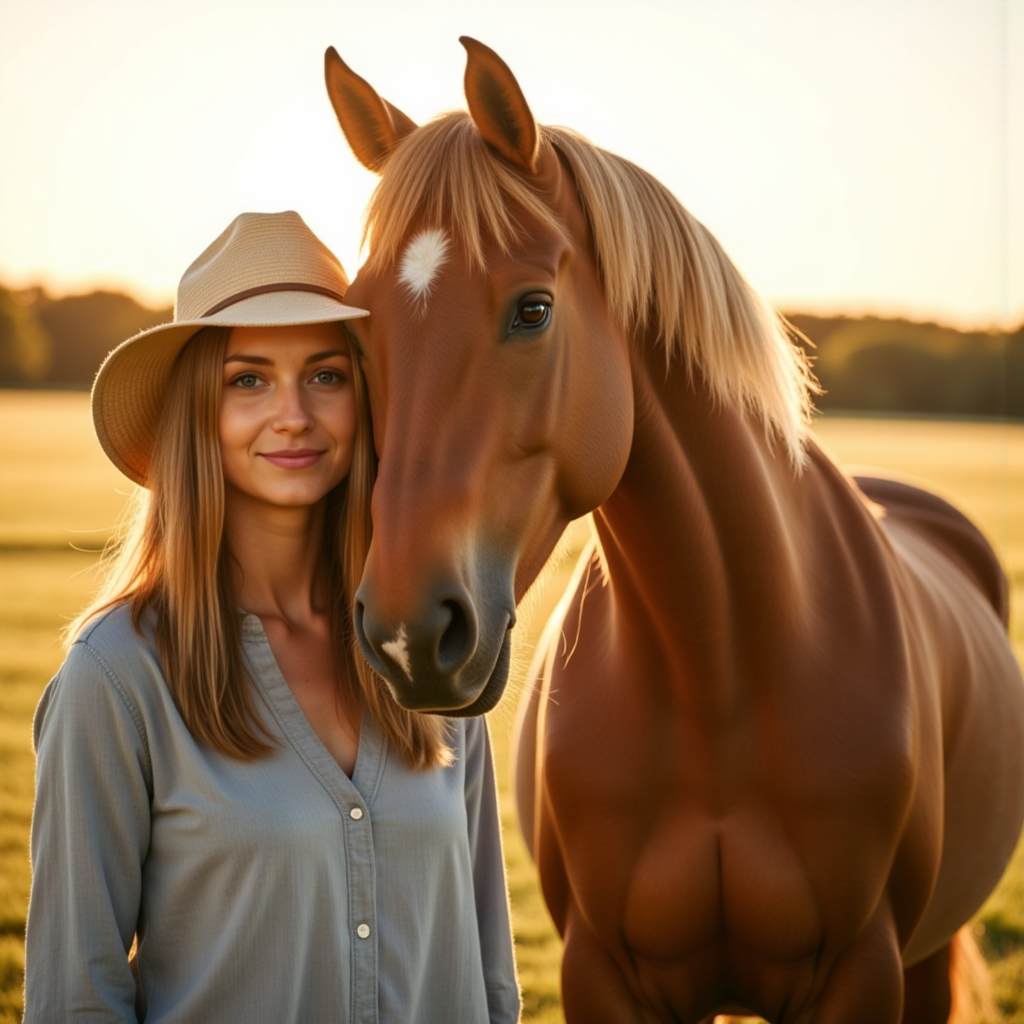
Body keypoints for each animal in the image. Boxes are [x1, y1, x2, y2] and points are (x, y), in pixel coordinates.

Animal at [324, 38, 1024, 1022]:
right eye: (356, 331)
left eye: (533, 309)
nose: (406, 635)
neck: (716, 676)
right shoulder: (601, 973)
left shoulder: (864, 971)